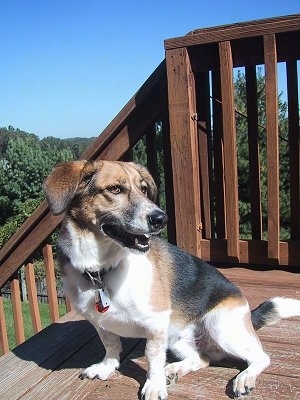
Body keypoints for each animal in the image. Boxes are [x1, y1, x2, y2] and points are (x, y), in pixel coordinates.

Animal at [42, 160, 300, 400]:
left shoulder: (156, 324)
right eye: (115, 189)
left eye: (143, 189)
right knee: (202, 358)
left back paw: (244, 378)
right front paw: (107, 367)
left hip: (219, 326)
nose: (160, 218)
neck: (101, 269)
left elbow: (152, 357)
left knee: (261, 357)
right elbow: (111, 344)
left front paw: (154, 385)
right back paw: (175, 369)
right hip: (176, 337)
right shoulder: (100, 323)